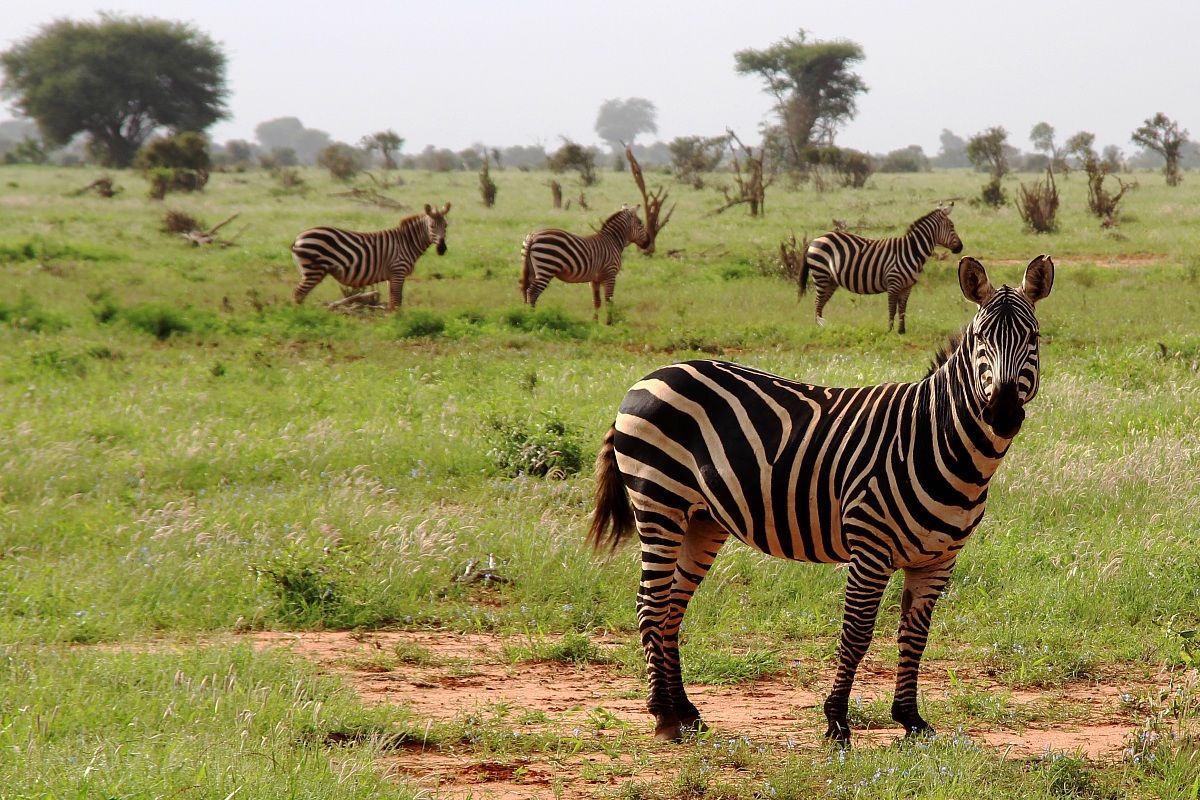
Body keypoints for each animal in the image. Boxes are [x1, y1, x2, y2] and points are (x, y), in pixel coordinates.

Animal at [291, 203, 451, 311]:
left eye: (446, 226)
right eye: (431, 227)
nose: (442, 249)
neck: (407, 242)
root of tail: (298, 238)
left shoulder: (392, 275)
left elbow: (393, 301)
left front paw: (394, 320)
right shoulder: (398, 270)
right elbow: (397, 300)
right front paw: (398, 323)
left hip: (311, 271)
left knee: (299, 294)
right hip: (313, 270)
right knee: (298, 293)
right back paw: (301, 317)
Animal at [520, 205, 650, 324]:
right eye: (640, 223)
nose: (648, 242)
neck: (613, 241)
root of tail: (533, 236)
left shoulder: (595, 279)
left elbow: (596, 301)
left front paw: (595, 323)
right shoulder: (610, 274)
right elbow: (609, 300)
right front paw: (609, 323)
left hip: (531, 269)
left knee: (526, 290)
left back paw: (526, 315)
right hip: (546, 267)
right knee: (533, 292)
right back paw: (533, 318)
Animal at [589, 254, 1054, 744]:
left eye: (1034, 337)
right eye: (981, 338)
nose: (1002, 413)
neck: (936, 438)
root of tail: (648, 377)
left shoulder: (939, 559)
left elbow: (915, 636)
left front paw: (911, 719)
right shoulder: (871, 547)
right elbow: (857, 633)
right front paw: (837, 720)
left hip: (702, 519)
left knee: (673, 607)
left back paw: (686, 712)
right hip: (659, 504)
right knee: (651, 604)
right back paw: (663, 716)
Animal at [801, 205, 964, 334]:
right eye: (952, 226)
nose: (961, 247)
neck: (912, 251)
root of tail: (816, 239)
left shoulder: (907, 286)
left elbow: (902, 309)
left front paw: (902, 331)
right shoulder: (893, 283)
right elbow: (892, 308)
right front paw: (890, 331)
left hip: (831, 280)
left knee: (821, 302)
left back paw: (822, 326)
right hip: (821, 274)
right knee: (817, 301)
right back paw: (818, 327)